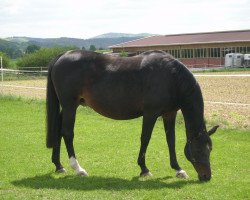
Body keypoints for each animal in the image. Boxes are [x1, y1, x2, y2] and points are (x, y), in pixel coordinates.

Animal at [46, 49, 218, 181]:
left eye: (210, 149)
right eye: (199, 150)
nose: (206, 176)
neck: (171, 77)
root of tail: (62, 55)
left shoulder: (169, 114)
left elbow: (171, 141)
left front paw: (178, 169)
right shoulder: (150, 114)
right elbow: (145, 139)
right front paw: (144, 169)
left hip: (68, 107)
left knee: (58, 130)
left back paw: (59, 166)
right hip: (70, 106)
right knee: (67, 133)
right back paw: (78, 168)